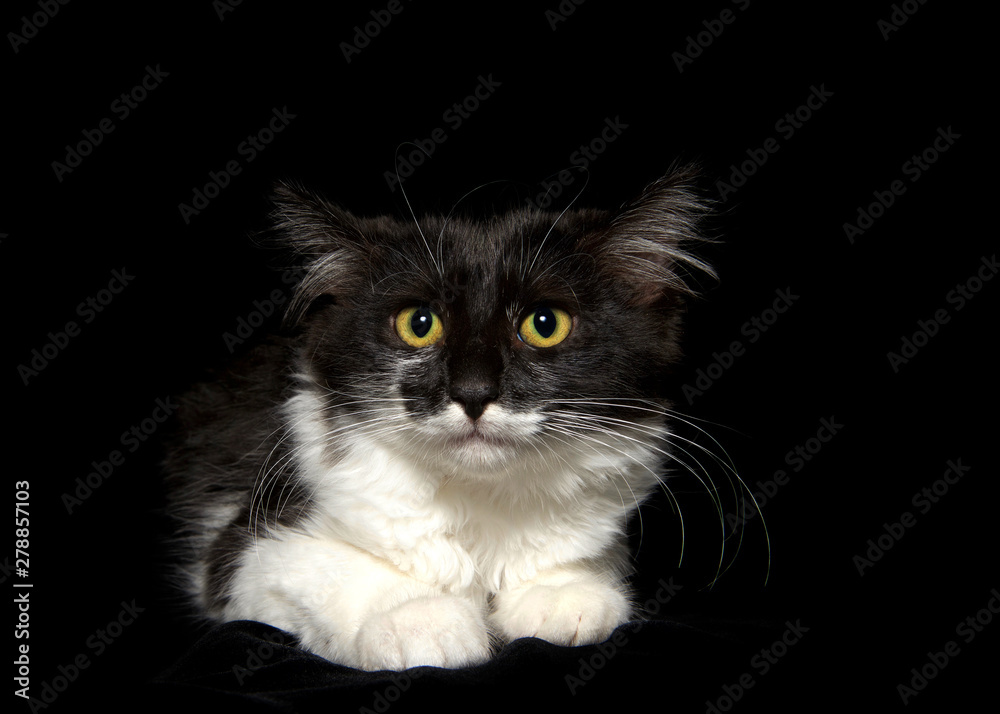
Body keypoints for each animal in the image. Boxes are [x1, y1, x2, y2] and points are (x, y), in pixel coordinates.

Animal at [164, 165, 716, 668]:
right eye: (419, 324)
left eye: (545, 325)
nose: (473, 393)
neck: (477, 496)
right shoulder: (242, 547)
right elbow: (333, 566)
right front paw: (420, 619)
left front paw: (562, 593)